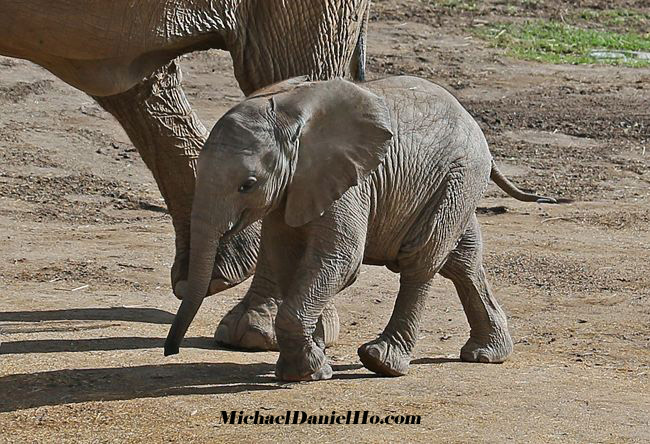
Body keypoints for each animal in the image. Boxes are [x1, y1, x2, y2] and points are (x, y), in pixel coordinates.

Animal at [163, 76, 552, 382]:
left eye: (248, 184)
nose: (171, 352)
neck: (289, 115)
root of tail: (473, 121)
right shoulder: (292, 187)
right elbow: (284, 259)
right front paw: (307, 361)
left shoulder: (349, 183)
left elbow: (341, 259)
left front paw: (307, 373)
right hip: (455, 184)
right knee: (463, 260)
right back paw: (486, 354)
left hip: (460, 174)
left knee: (422, 258)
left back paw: (383, 362)